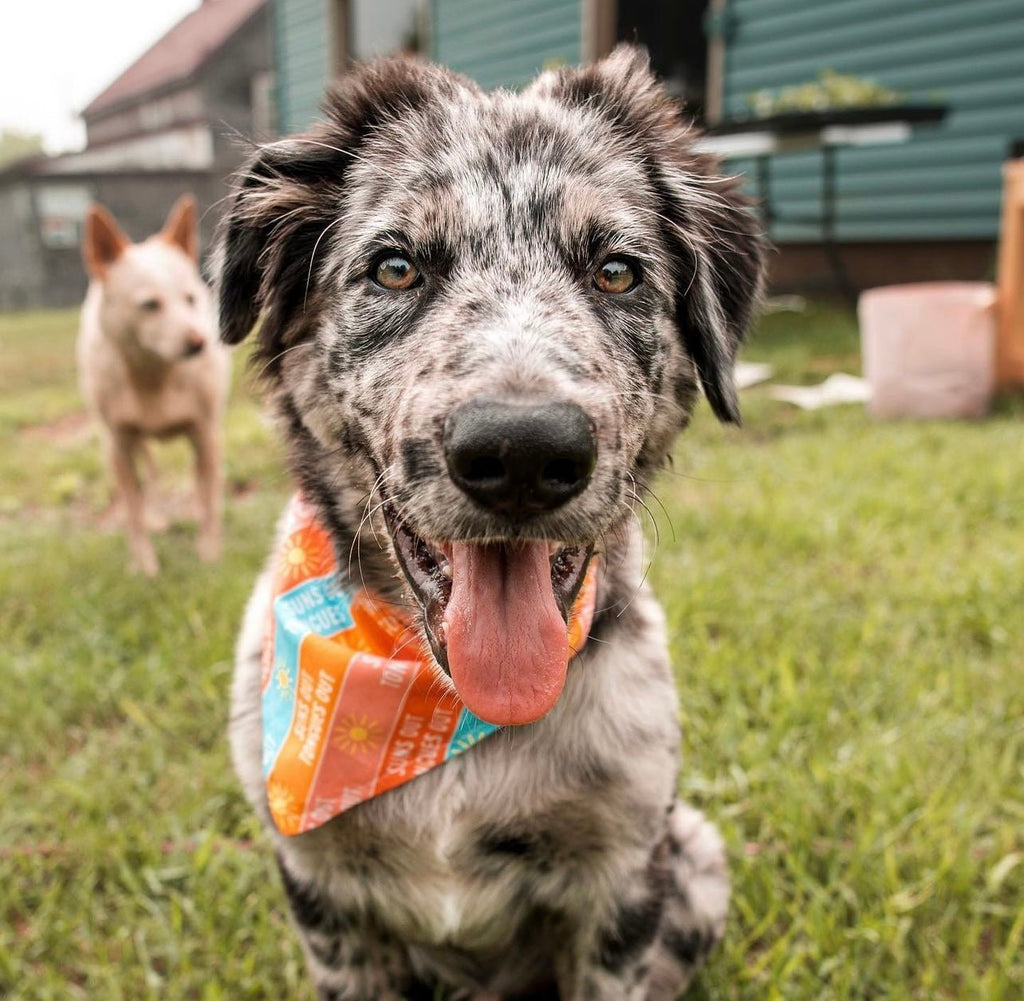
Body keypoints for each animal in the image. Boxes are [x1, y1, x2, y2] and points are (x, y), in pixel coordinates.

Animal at [78, 195, 230, 573]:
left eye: (191, 299)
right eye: (150, 305)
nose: (200, 342)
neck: (155, 374)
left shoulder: (206, 433)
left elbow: (209, 500)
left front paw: (210, 555)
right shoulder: (117, 446)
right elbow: (133, 511)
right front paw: (144, 565)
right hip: (133, 441)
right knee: (151, 473)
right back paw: (159, 517)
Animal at [214, 44, 761, 998]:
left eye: (617, 270)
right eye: (395, 267)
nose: (522, 452)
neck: (448, 705)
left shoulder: (624, 876)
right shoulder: (321, 890)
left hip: (695, 849)